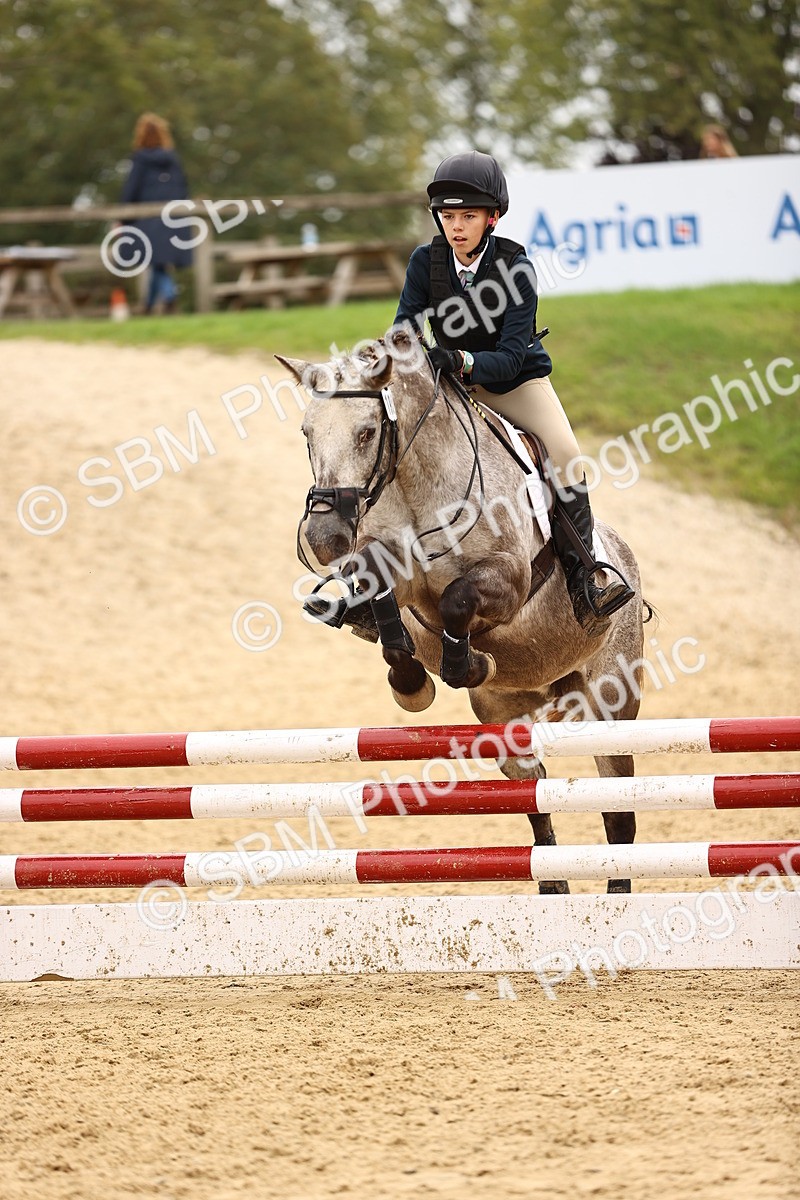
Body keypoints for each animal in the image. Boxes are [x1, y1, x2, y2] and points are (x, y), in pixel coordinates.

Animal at [278, 331, 645, 893]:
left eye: (367, 433)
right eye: (306, 433)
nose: (323, 539)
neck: (415, 485)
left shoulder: (507, 579)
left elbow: (457, 599)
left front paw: (466, 664)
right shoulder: (387, 570)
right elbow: (387, 607)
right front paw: (411, 682)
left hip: (611, 703)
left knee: (617, 812)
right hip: (504, 713)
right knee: (531, 788)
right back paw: (552, 884)